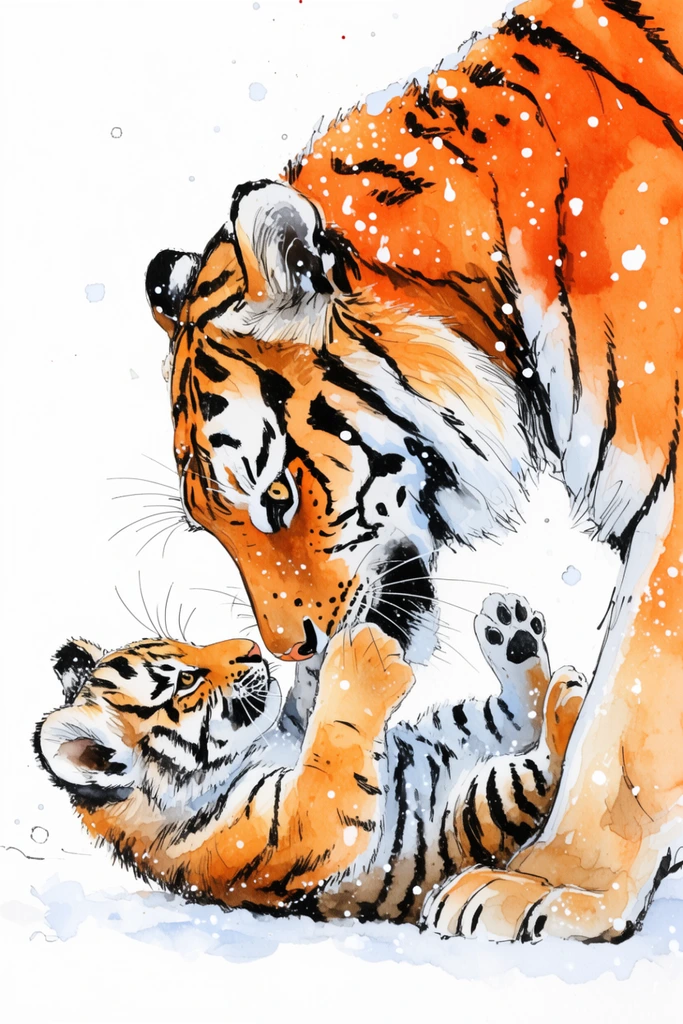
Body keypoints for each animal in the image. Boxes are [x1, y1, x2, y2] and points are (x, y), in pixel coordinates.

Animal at [35, 594, 585, 924]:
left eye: (189, 644)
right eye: (185, 680)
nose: (252, 649)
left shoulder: (297, 728)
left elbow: (310, 700)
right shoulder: (306, 822)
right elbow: (336, 736)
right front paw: (363, 655)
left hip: (456, 732)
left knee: (518, 712)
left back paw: (514, 634)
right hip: (475, 811)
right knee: (542, 766)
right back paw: (570, 698)